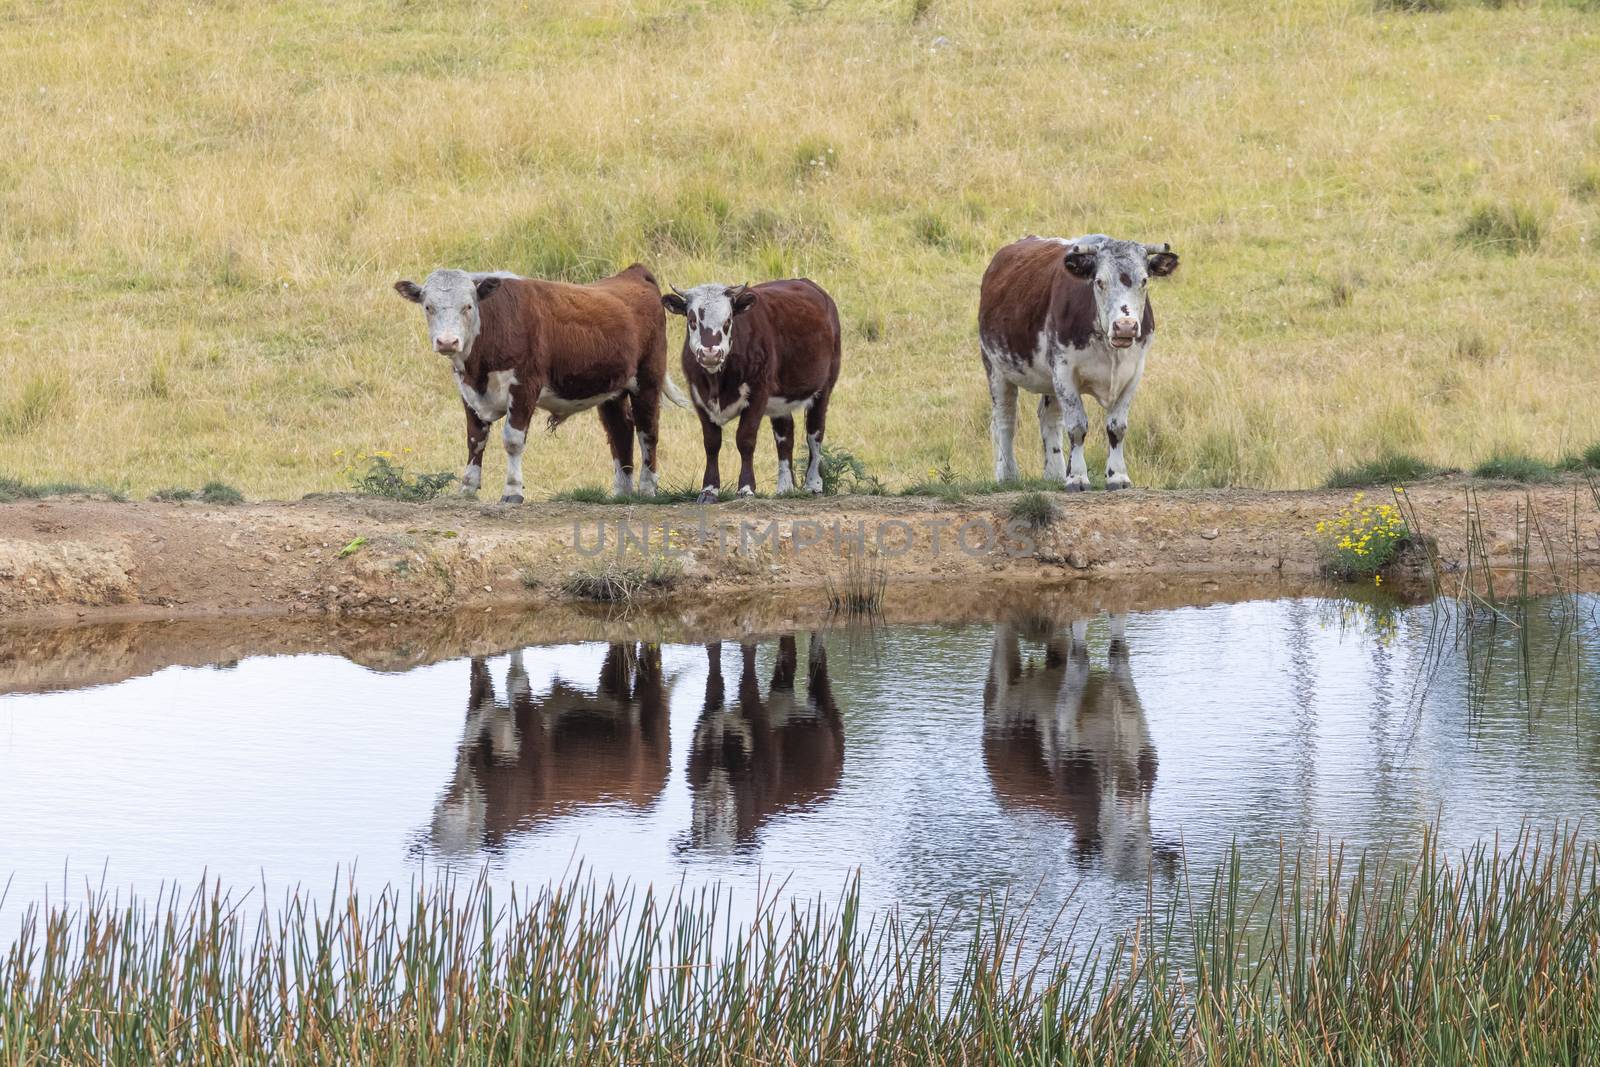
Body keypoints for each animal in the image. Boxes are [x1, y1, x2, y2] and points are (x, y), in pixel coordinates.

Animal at [396, 265, 684, 502]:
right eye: (428, 307)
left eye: (467, 306)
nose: (447, 342)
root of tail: (634, 273)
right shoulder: (468, 391)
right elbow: (475, 439)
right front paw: (468, 487)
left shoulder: (525, 386)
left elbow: (512, 440)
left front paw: (512, 490)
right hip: (612, 390)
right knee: (620, 430)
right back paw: (621, 492)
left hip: (648, 379)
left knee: (648, 431)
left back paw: (647, 488)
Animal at [659, 279, 844, 505]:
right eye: (692, 320)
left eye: (728, 320)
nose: (711, 354)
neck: (717, 382)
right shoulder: (698, 398)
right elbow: (711, 443)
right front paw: (709, 490)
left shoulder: (758, 394)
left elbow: (745, 440)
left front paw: (746, 488)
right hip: (781, 402)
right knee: (785, 437)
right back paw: (785, 487)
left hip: (823, 388)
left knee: (815, 434)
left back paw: (813, 485)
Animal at [966, 233, 1184, 492]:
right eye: (1099, 281)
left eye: (1144, 280)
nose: (1125, 327)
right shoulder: (1064, 370)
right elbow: (1077, 426)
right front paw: (1077, 477)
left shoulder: (1133, 372)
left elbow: (1117, 427)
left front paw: (1117, 476)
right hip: (995, 366)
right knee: (1005, 420)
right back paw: (1007, 474)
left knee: (1048, 418)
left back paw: (1055, 473)